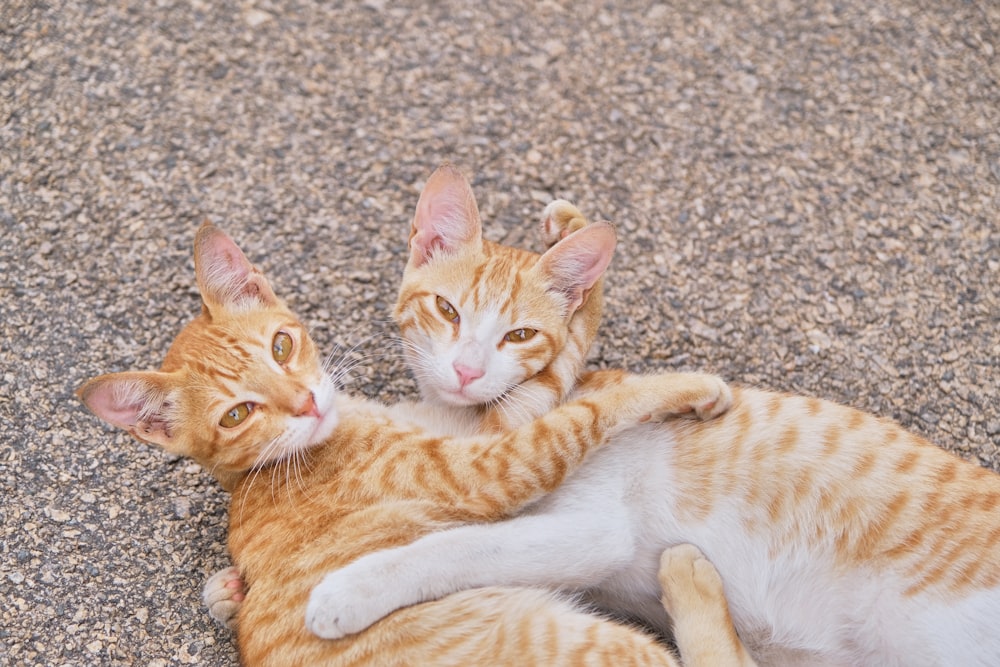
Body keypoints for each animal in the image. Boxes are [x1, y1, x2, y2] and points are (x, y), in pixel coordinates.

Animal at [80, 215, 752, 667]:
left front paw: (571, 252)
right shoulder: (497, 459)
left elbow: (548, 354)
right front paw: (687, 384)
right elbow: (578, 392)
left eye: (280, 345)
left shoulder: (475, 421)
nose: (306, 403)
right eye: (237, 415)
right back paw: (691, 581)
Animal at [304, 168, 1000, 667]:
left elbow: (458, 544)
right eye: (446, 311)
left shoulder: (591, 527)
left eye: (519, 335)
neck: (463, 421)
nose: (468, 372)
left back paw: (689, 580)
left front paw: (352, 590)